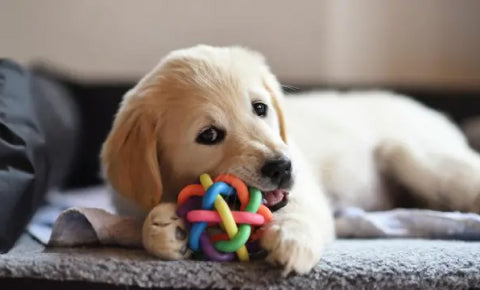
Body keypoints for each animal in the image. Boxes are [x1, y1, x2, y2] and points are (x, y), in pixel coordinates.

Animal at [102, 44, 480, 274]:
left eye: (260, 108)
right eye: (208, 135)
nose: (283, 167)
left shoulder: (306, 193)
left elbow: (299, 211)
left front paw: (291, 240)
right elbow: (141, 224)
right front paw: (165, 227)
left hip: (412, 155)